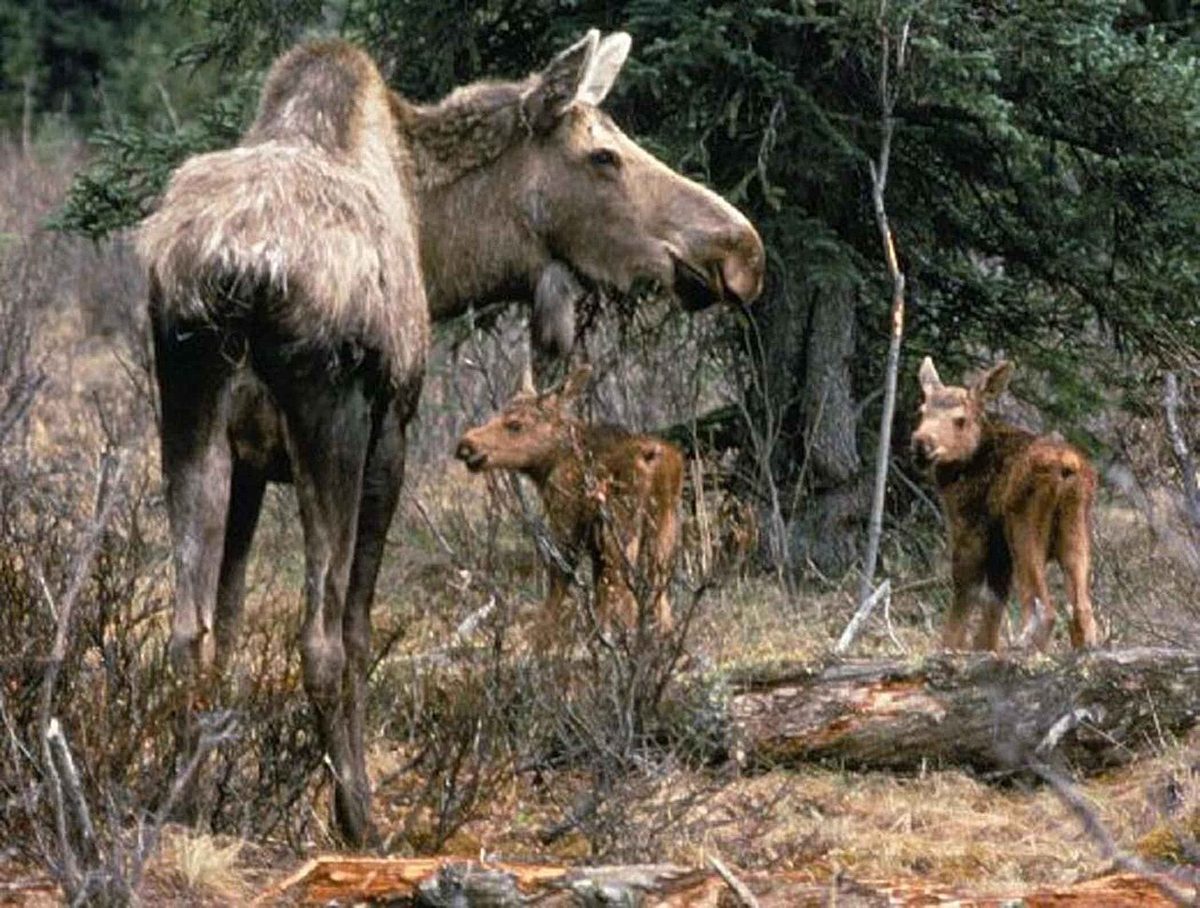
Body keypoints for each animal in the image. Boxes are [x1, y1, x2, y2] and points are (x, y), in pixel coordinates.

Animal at [455, 367, 684, 638]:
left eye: (515, 424)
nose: (466, 445)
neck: (546, 466)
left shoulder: (566, 516)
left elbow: (560, 577)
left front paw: (543, 636)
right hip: (664, 525)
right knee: (659, 588)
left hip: (621, 525)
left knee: (621, 584)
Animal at [910, 357, 1099, 653]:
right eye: (922, 411)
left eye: (960, 420)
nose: (921, 443)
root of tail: (1067, 468)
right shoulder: (999, 551)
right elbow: (993, 606)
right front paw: (983, 649)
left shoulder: (970, 529)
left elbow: (964, 594)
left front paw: (949, 650)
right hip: (1076, 530)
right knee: (1082, 612)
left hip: (1024, 526)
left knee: (1044, 610)